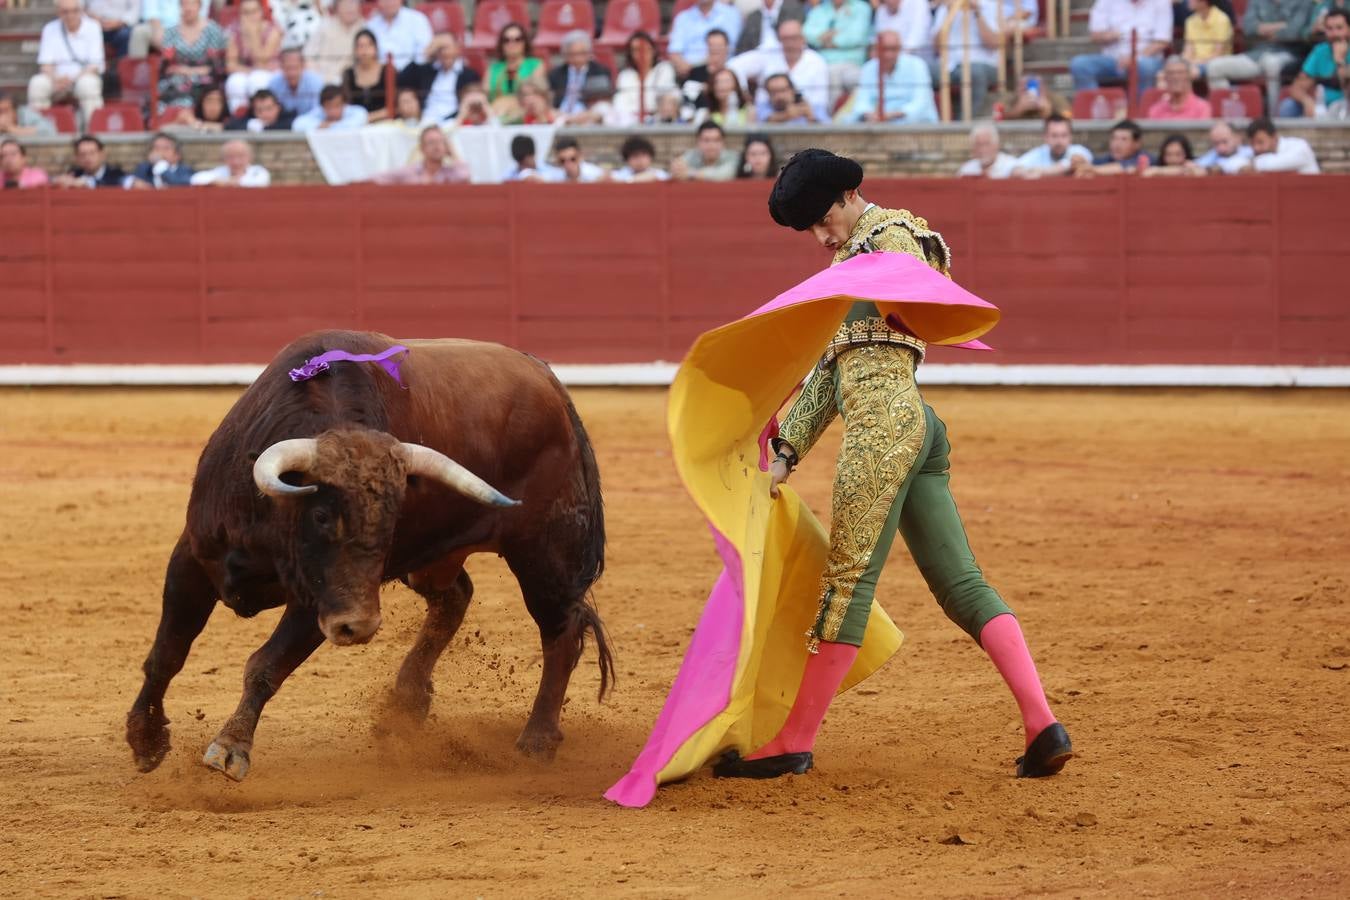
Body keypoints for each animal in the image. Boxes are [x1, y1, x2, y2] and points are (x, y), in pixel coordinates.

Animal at [126, 330, 612, 782]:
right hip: (435, 560)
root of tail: (550, 382)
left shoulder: (322, 602)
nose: (359, 627)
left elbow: (266, 665)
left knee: (562, 630)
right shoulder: (193, 558)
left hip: (544, 552)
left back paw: (536, 741)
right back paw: (405, 706)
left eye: (392, 519)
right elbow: (168, 653)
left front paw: (230, 748)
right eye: (322, 514)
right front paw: (145, 739)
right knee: (456, 597)